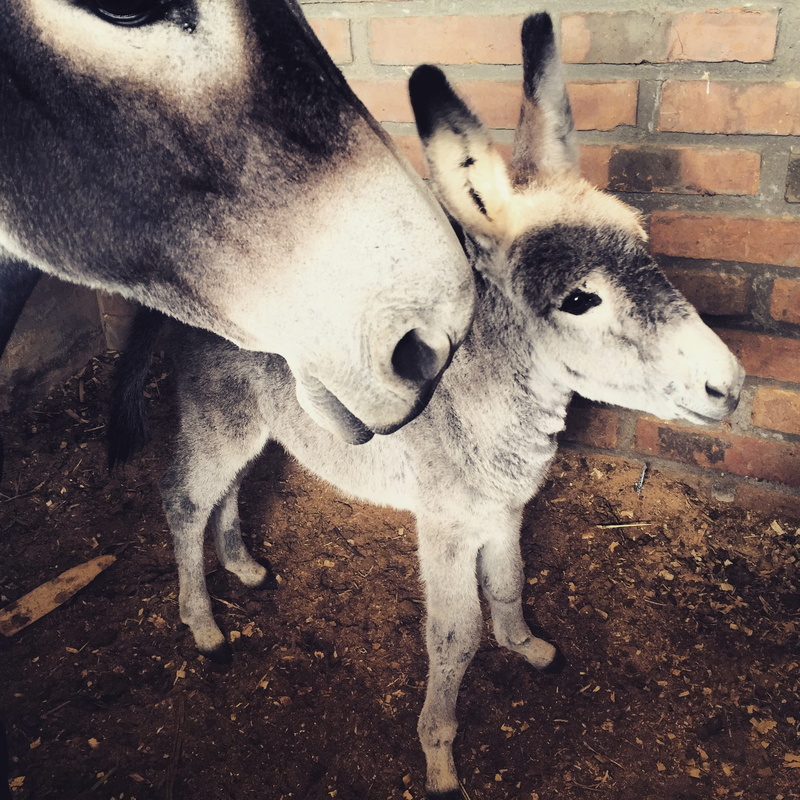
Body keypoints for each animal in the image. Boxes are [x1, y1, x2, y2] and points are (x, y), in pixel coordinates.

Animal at [110, 13, 744, 798]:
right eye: (578, 300)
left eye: (645, 245)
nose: (729, 385)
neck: (489, 398)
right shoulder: (444, 523)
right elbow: (454, 635)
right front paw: (439, 755)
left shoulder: (504, 510)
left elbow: (508, 583)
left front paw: (528, 646)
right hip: (216, 415)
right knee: (184, 498)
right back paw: (202, 627)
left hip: (251, 421)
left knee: (229, 488)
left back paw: (244, 567)